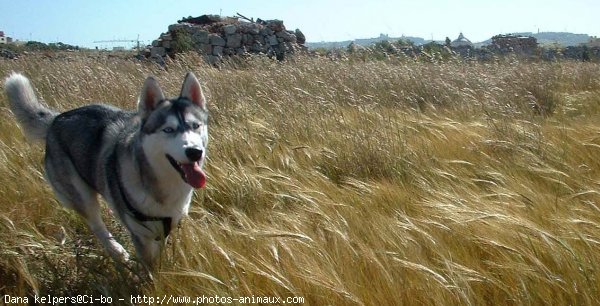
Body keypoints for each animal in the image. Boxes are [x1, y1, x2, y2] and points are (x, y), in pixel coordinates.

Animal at [4, 71, 209, 268]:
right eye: (168, 130)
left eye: (195, 126)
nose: (194, 152)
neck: (162, 185)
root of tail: (57, 119)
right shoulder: (141, 235)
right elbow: (150, 268)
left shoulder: (166, 227)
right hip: (81, 196)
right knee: (96, 225)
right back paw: (117, 251)